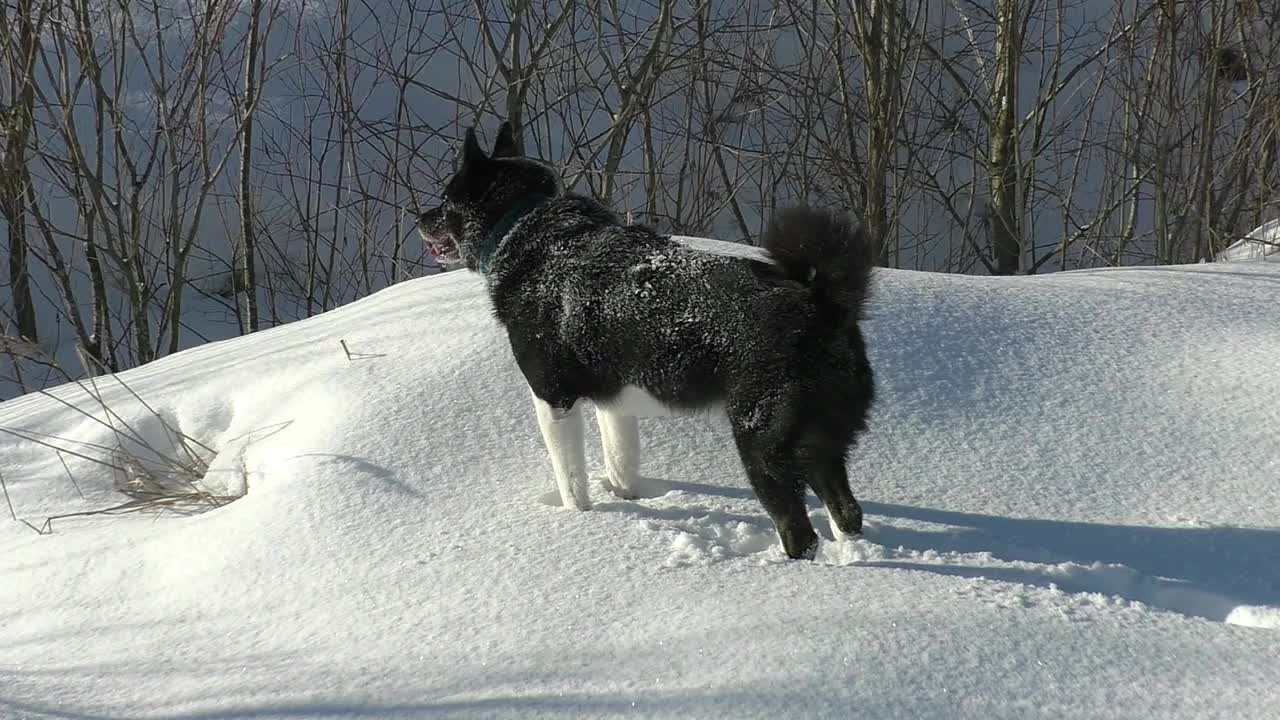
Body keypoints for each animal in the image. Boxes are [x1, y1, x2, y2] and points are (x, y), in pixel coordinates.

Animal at [419, 120, 880, 558]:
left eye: (445, 197)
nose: (420, 218)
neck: (521, 222)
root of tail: (822, 303)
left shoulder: (553, 400)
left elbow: (571, 482)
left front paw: (579, 522)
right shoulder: (615, 404)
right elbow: (621, 462)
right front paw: (628, 499)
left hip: (764, 445)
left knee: (799, 532)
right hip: (821, 445)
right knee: (847, 512)